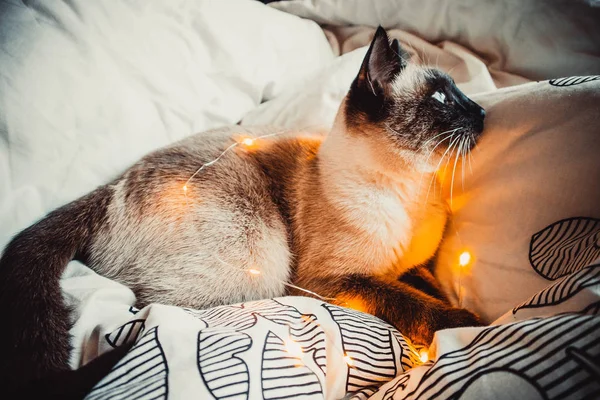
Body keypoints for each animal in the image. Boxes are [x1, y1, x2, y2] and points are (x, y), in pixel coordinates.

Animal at [0, 27, 482, 396]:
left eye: (459, 93)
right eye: (443, 98)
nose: (480, 111)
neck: (409, 191)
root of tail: (108, 188)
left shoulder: (410, 265)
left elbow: (427, 287)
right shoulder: (335, 280)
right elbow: (411, 302)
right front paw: (466, 323)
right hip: (263, 258)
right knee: (149, 310)